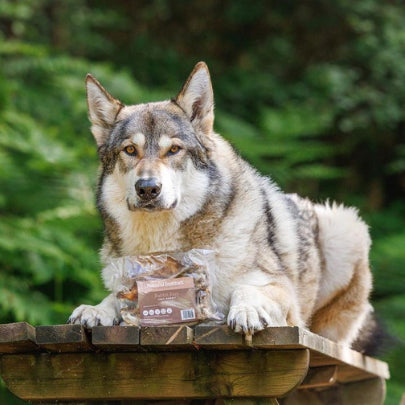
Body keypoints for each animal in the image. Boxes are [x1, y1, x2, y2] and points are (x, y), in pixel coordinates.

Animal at [68, 61, 374, 348]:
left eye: (174, 149)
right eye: (130, 150)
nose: (148, 188)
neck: (163, 248)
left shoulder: (282, 291)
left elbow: (246, 289)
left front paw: (247, 311)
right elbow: (115, 296)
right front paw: (95, 309)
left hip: (344, 228)